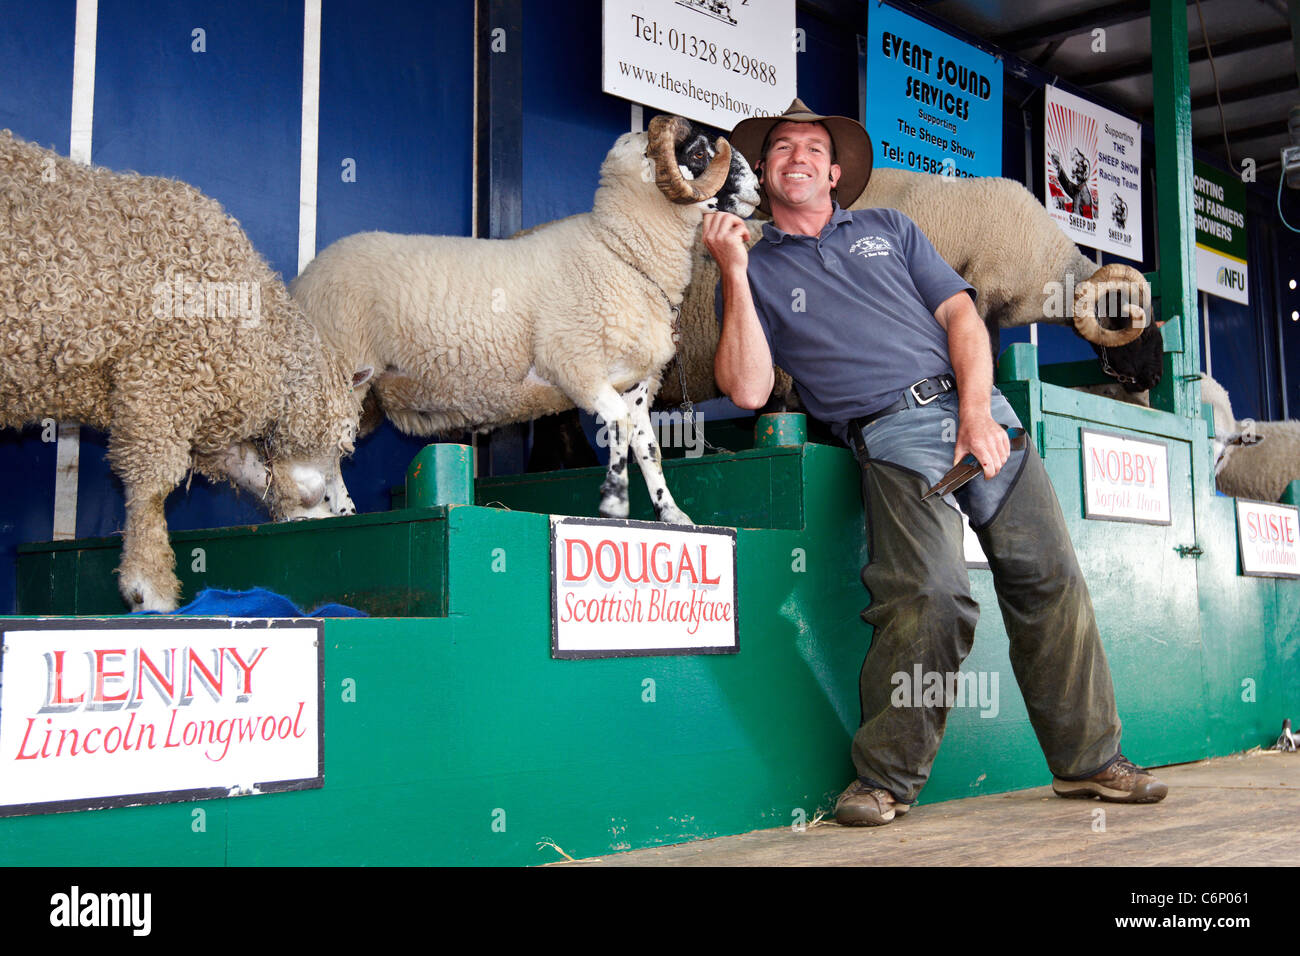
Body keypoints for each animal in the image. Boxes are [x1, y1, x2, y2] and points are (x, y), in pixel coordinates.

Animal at [0, 128, 371, 613]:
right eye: (340, 441)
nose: (323, 499)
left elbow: (250, 469)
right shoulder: (158, 382)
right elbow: (153, 484)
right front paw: (149, 586)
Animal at [292, 117, 759, 530]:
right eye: (697, 152)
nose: (757, 189)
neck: (620, 252)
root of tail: (305, 277)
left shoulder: (637, 385)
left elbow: (648, 449)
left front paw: (672, 513)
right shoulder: (575, 366)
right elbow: (619, 427)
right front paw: (613, 501)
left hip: (366, 393)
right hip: (341, 370)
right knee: (323, 448)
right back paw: (332, 515)